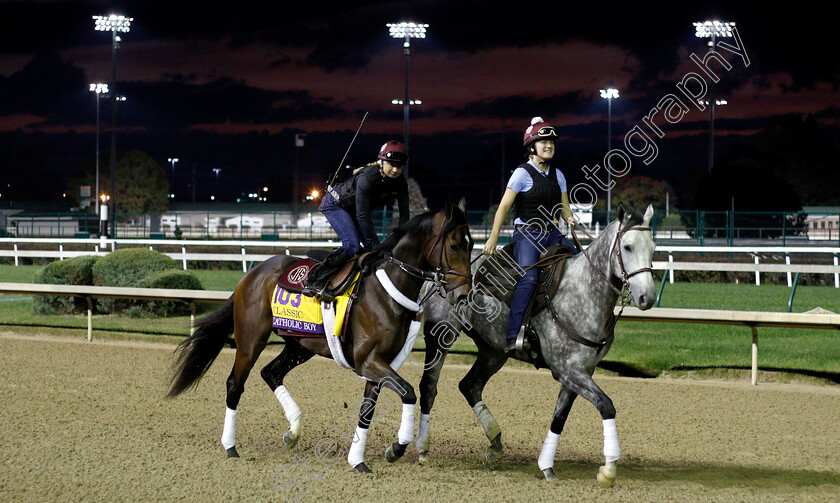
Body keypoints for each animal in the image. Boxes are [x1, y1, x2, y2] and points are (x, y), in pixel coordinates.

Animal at [169, 200, 472, 472]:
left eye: (471, 247)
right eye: (454, 246)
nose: (463, 296)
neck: (387, 289)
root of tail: (252, 273)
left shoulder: (380, 363)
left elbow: (367, 409)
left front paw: (358, 461)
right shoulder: (367, 361)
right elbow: (408, 392)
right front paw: (395, 448)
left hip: (300, 346)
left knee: (271, 373)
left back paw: (293, 431)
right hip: (251, 339)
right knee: (235, 383)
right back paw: (230, 446)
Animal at [414, 205, 656, 488]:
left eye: (653, 248)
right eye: (627, 247)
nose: (647, 297)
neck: (582, 293)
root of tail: (439, 272)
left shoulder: (583, 371)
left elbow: (559, 417)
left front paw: (546, 465)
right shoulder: (566, 369)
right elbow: (606, 405)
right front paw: (608, 470)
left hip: (493, 351)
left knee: (469, 385)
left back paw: (495, 443)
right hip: (441, 336)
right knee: (429, 387)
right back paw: (422, 448)